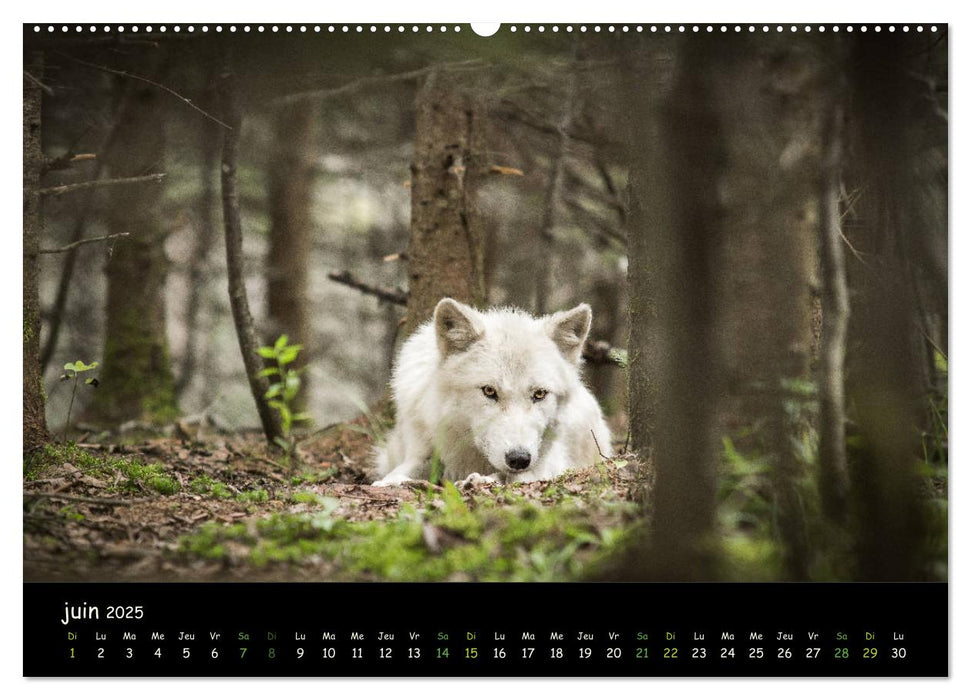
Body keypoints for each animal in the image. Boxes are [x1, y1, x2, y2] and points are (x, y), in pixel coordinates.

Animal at [374, 296, 616, 486]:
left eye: (539, 394)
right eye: (489, 391)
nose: (519, 458)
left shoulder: (544, 463)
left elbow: (512, 476)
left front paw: (482, 479)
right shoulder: (422, 451)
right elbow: (400, 472)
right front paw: (388, 483)